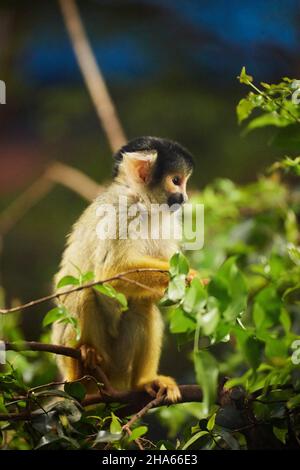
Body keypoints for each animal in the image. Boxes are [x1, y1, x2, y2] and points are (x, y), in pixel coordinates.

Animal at [52, 135, 196, 400]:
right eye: (176, 181)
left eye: (183, 182)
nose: (184, 198)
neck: (143, 203)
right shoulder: (121, 211)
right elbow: (110, 274)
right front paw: (192, 277)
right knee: (83, 288)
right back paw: (80, 365)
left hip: (120, 365)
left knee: (141, 306)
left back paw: (143, 382)